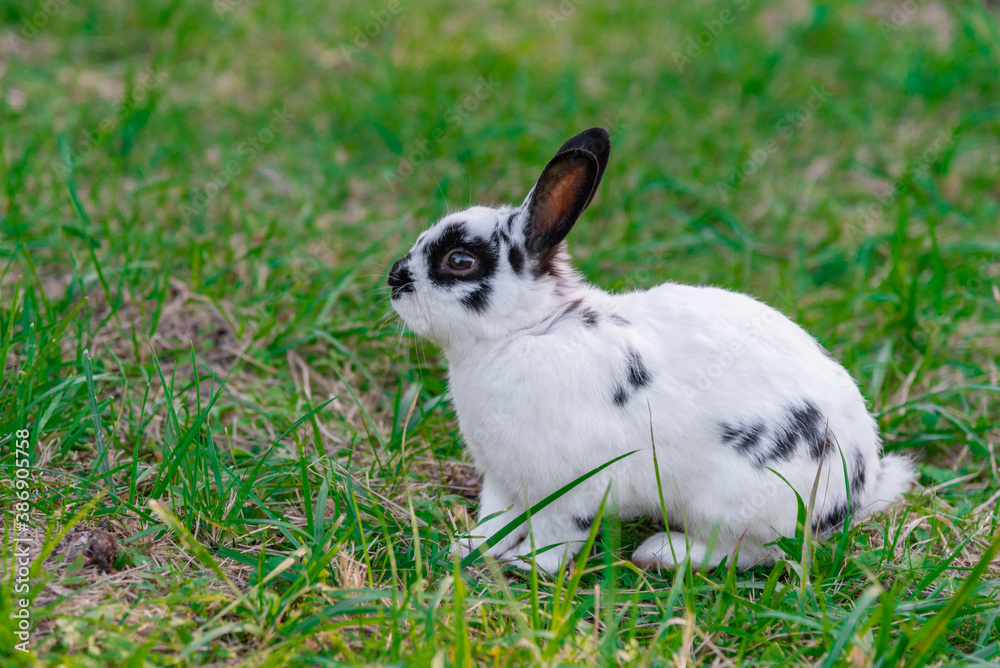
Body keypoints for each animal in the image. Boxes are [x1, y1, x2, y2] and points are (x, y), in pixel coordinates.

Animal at [387, 127, 916, 574]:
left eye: (460, 260)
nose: (394, 280)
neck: (528, 330)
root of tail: (857, 488)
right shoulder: (501, 478)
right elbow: (496, 520)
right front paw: (466, 548)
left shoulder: (574, 487)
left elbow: (556, 534)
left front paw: (528, 566)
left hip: (732, 501)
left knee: (745, 552)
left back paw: (661, 552)